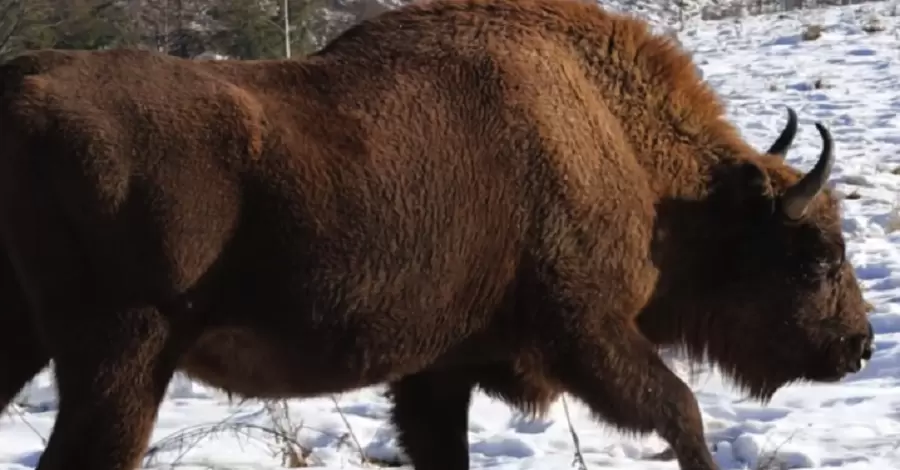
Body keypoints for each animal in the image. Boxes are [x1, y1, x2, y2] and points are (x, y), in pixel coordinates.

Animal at [0, 0, 876, 468]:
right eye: (813, 260)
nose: (862, 344)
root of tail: (21, 88)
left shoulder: (439, 370)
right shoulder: (586, 334)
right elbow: (682, 411)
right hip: (126, 356)